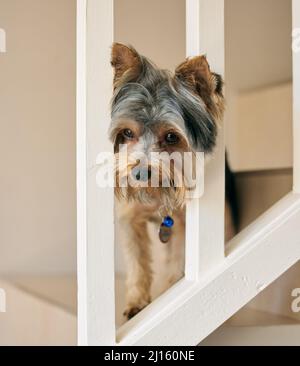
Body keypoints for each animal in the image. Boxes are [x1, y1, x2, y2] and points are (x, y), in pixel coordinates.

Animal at [109, 43, 225, 320]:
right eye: (127, 132)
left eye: (172, 137)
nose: (140, 173)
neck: (156, 194)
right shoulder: (129, 220)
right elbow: (136, 260)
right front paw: (137, 301)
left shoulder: (183, 223)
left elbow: (179, 260)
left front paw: (172, 293)